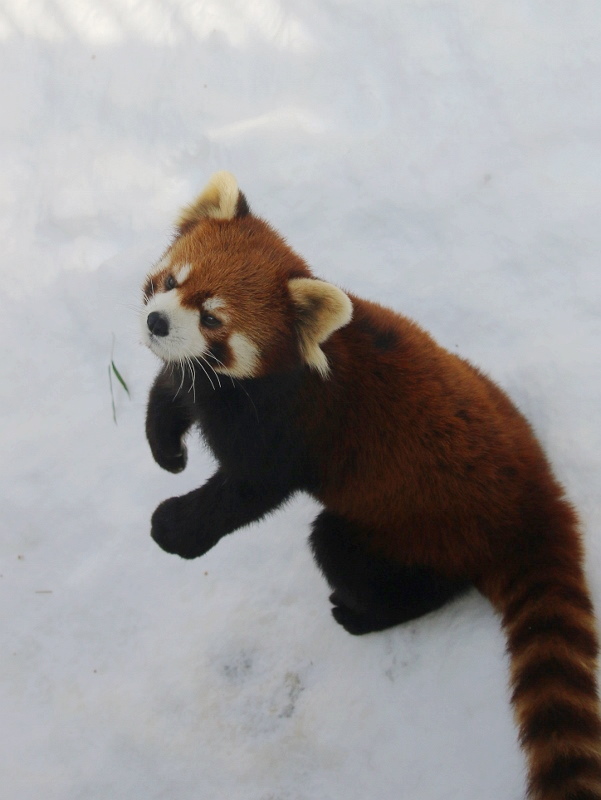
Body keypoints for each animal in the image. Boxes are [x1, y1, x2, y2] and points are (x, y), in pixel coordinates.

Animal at [139, 172, 600, 796]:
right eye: (172, 281)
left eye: (212, 318)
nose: (156, 322)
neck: (237, 385)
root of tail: (538, 494)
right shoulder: (201, 384)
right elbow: (169, 391)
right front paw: (167, 450)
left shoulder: (289, 427)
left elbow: (248, 492)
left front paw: (176, 529)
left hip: (411, 531)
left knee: (355, 556)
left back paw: (367, 614)